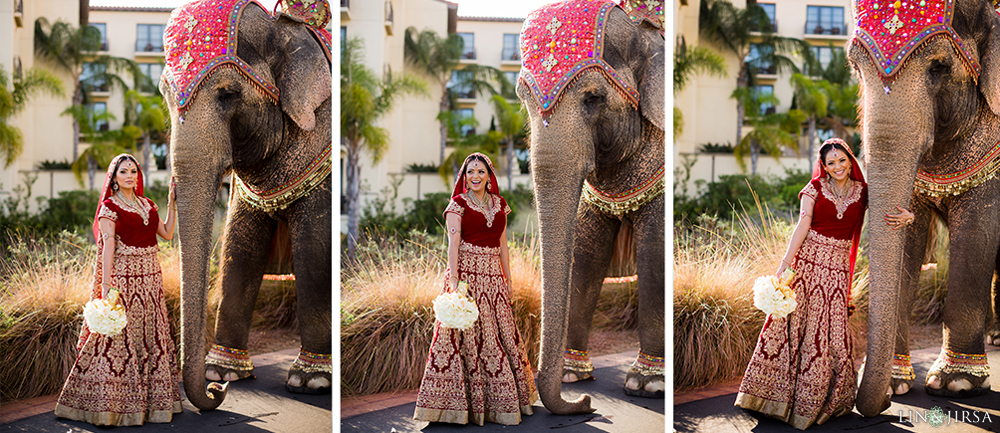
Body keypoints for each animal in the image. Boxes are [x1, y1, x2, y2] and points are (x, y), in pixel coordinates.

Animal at [158, 0, 334, 410]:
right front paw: (222, 372)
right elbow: (240, 247)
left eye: (227, 94)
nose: (216, 395)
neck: (282, 28)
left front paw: (311, 381)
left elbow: (314, 249)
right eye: (166, 95)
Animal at [516, 0, 664, 416]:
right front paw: (572, 376)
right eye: (522, 98)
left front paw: (647, 384)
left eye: (593, 98)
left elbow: (655, 255)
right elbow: (585, 253)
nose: (586, 405)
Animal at [848, 0, 1000, 416]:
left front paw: (957, 384)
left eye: (939, 67)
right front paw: (897, 385)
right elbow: (909, 242)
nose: (882, 404)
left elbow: (978, 233)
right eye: (855, 67)